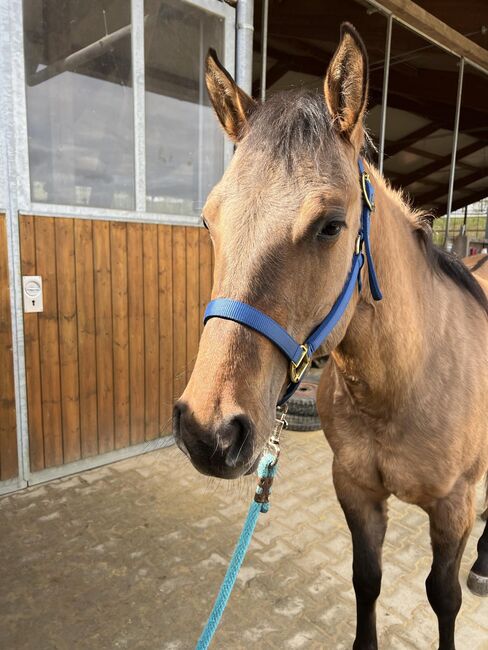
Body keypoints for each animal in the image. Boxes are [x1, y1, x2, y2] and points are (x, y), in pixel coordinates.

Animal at [174, 22, 488, 644]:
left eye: (331, 226)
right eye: (208, 220)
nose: (207, 431)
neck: (403, 384)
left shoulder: (454, 509)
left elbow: (443, 600)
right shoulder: (356, 491)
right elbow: (366, 581)